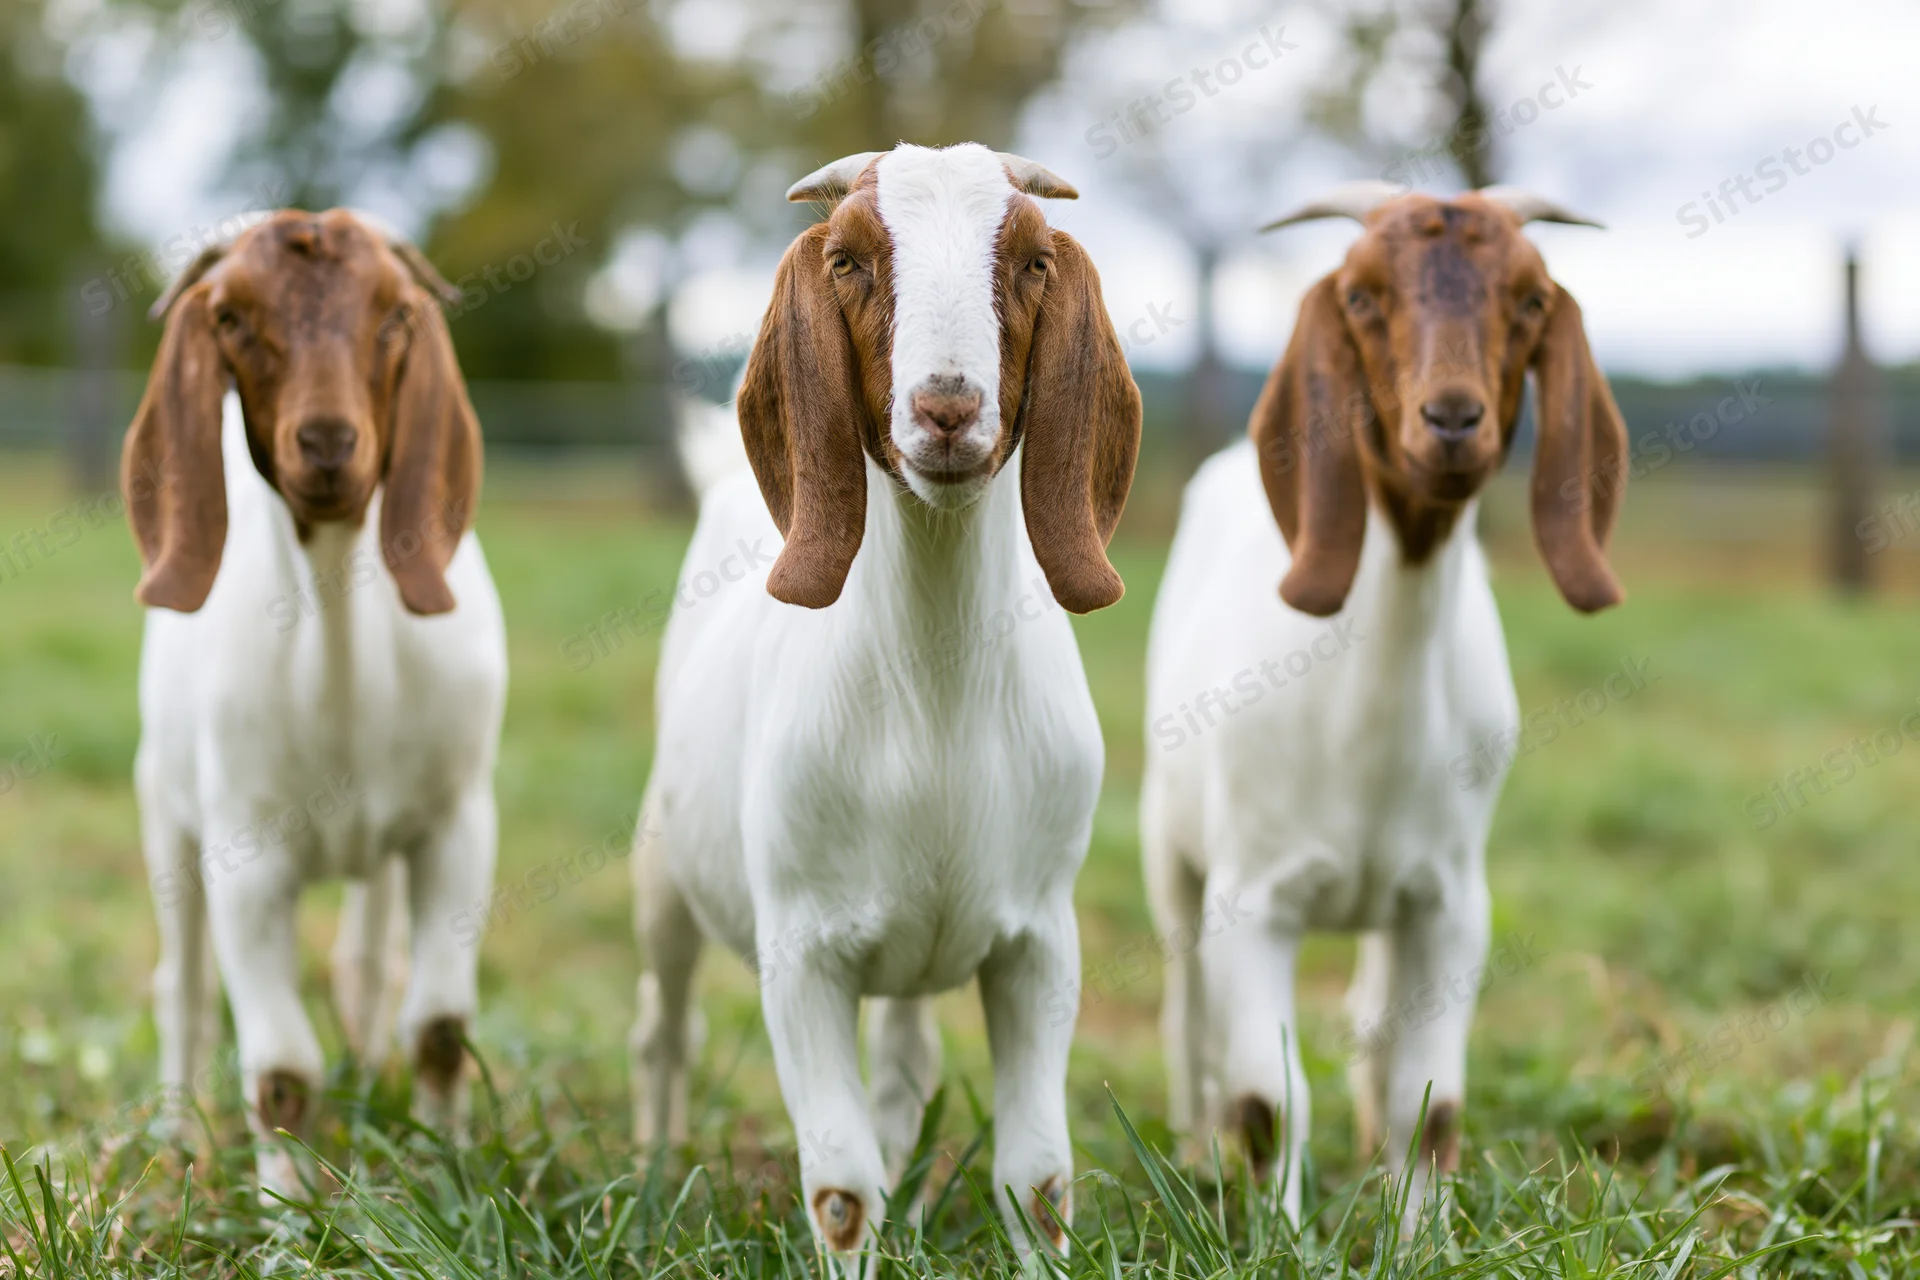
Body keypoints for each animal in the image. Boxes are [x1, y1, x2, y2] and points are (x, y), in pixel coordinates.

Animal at [122, 209, 507, 1201]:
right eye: (229, 318)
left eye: (396, 316)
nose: (329, 442)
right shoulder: (244, 854)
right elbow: (282, 1068)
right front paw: (285, 1207)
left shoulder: (457, 823)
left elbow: (440, 1025)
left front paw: (442, 1173)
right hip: (162, 808)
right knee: (179, 989)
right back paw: (175, 1139)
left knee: (367, 966)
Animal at [630, 143, 1140, 1267]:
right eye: (851, 260)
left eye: (1035, 260)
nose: (947, 406)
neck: (934, 698)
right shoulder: (800, 953)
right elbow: (841, 1186)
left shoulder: (1041, 939)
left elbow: (1037, 1177)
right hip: (664, 870)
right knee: (664, 1026)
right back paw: (651, 1172)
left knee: (905, 1055)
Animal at [1140, 184, 1626, 1226]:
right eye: (1361, 295)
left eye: (1530, 300)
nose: (1451, 419)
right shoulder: (1253, 900)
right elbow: (1268, 1097)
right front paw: (1277, 1235)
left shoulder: (1449, 902)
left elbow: (1427, 1102)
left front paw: (1421, 1235)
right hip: (1169, 846)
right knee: (1186, 1008)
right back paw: (1194, 1151)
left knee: (1370, 1014)